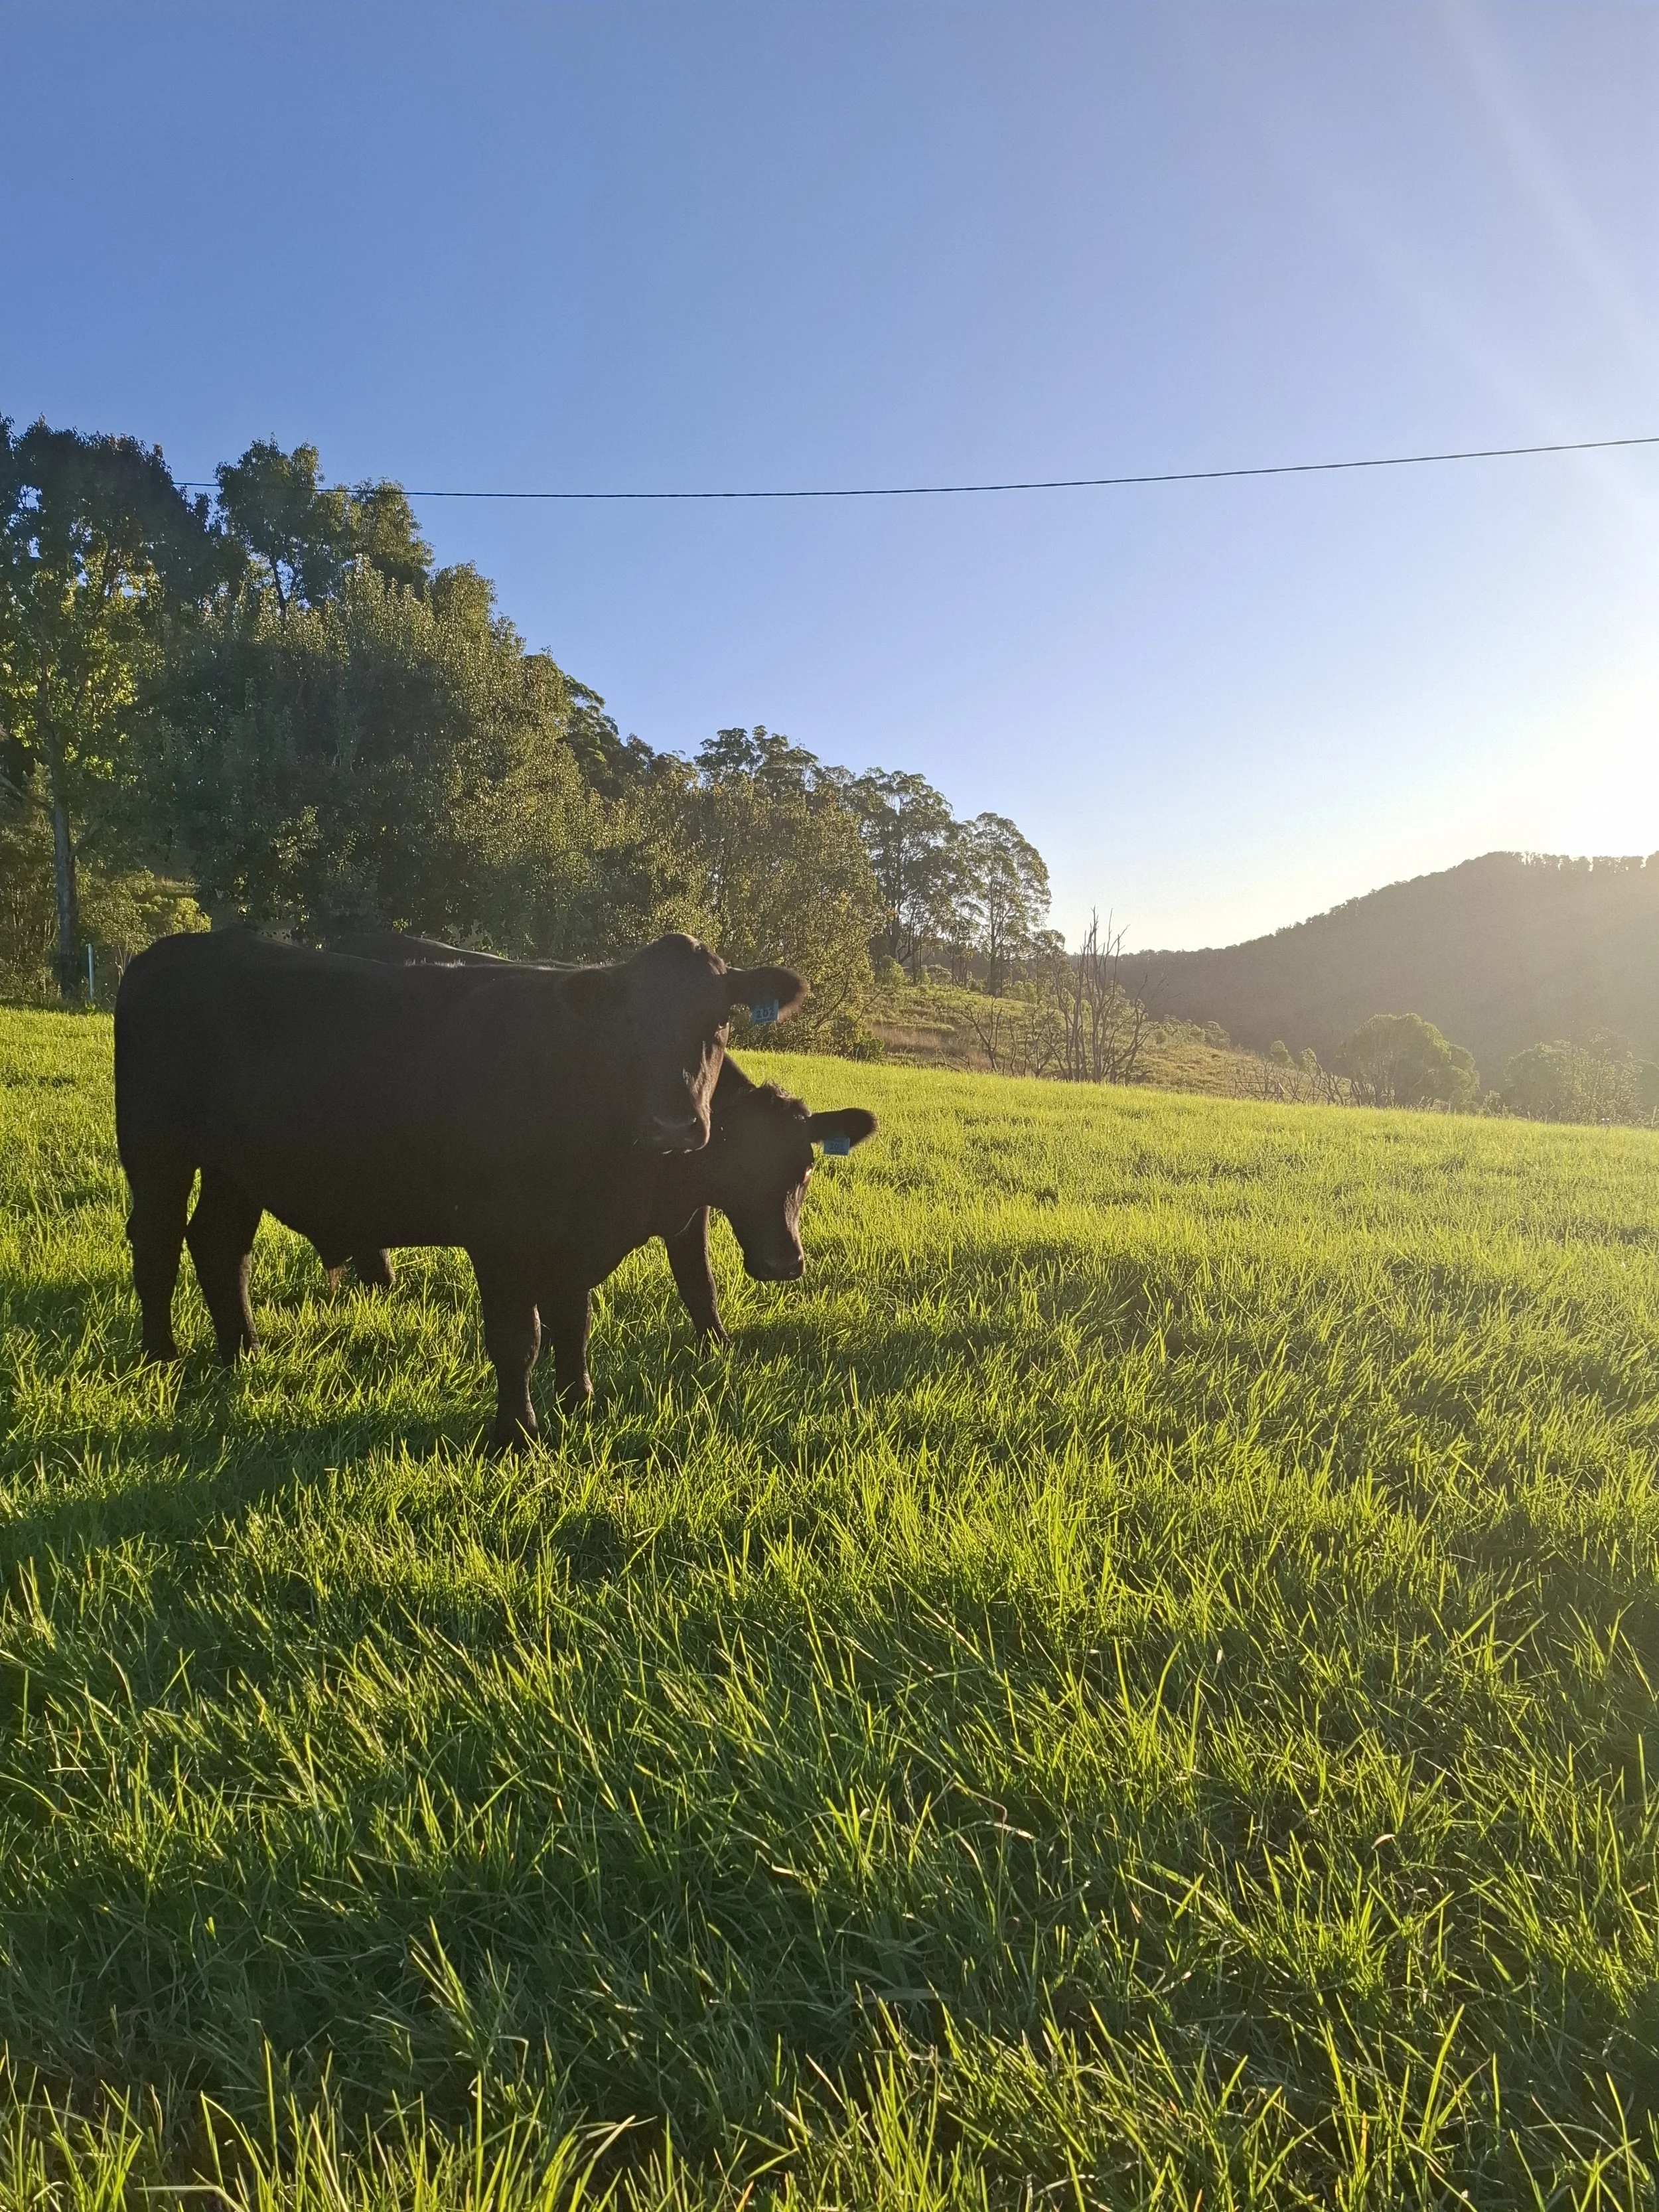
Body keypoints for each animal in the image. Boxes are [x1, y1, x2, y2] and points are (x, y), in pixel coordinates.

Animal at [114, 929, 805, 1445]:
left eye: (720, 1021)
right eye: (630, 1023)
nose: (676, 1125)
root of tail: (165, 952)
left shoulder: (575, 1238)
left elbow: (575, 1320)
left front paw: (578, 1400)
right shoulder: (500, 1234)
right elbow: (518, 1338)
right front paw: (517, 1433)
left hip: (236, 1168)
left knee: (219, 1244)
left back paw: (244, 1353)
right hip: (155, 1150)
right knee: (156, 1245)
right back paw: (161, 1357)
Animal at [321, 931, 877, 1417]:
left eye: (806, 1168)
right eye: (740, 1167)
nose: (784, 1263)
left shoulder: (684, 1211)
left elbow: (697, 1283)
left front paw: (719, 1347)